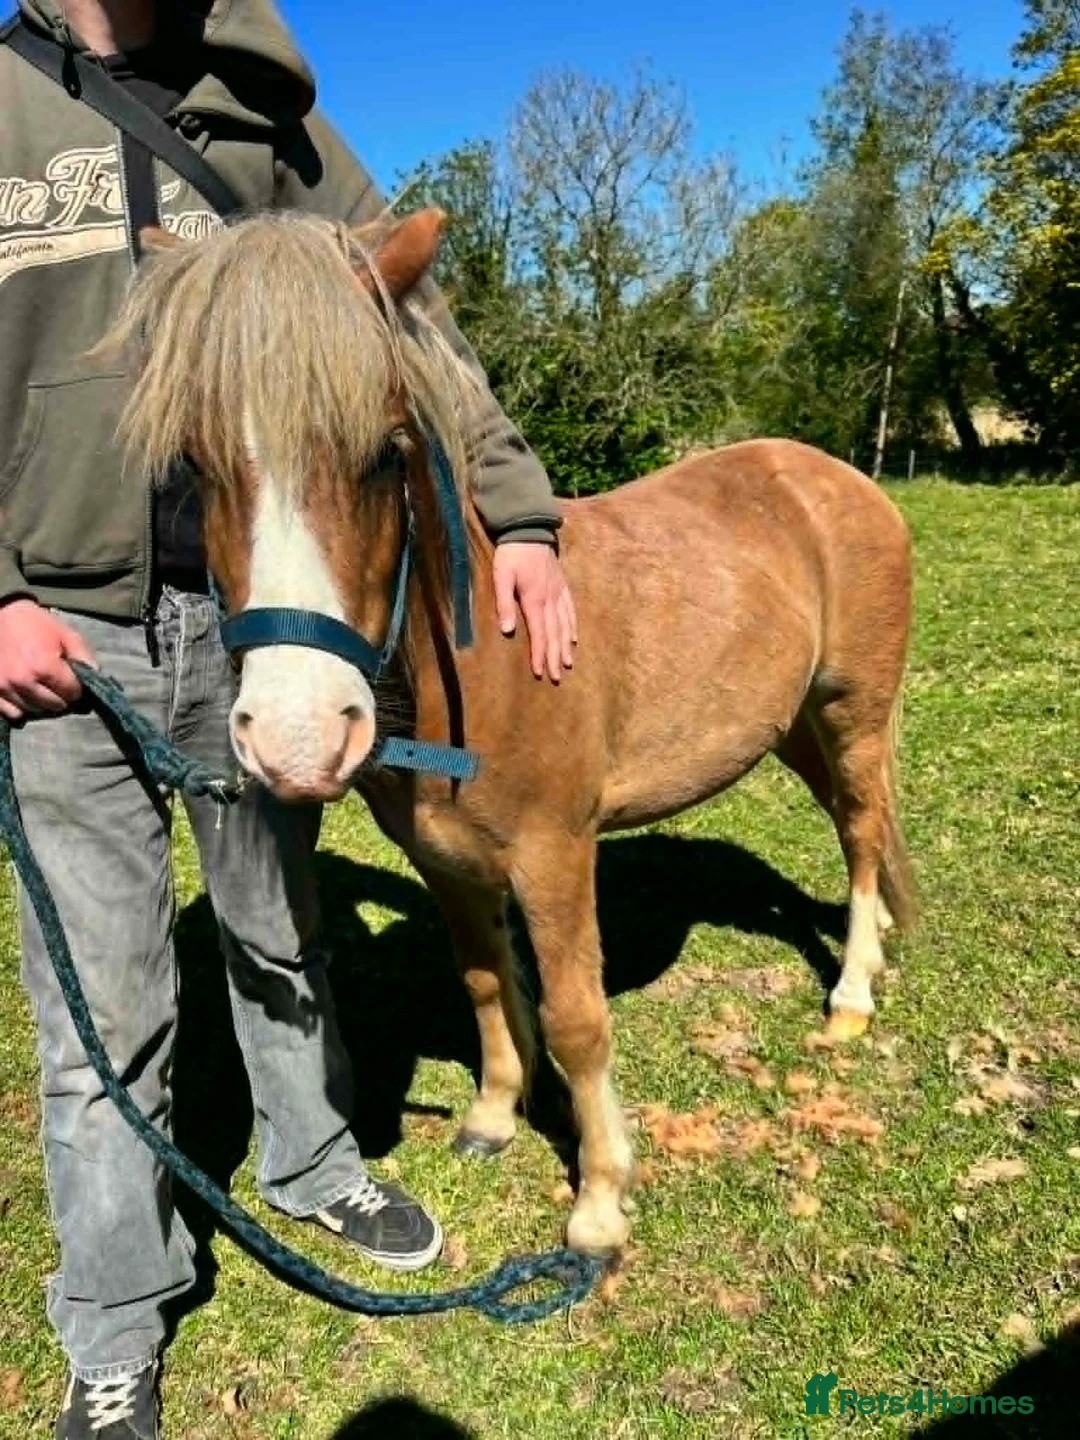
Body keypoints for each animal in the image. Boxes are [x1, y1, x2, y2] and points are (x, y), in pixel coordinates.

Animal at [106, 208, 915, 1256]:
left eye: (386, 453)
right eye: (198, 467)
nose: (297, 736)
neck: (480, 660)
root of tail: (835, 479)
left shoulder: (555, 855)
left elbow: (576, 1018)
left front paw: (601, 1199)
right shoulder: (446, 862)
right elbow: (486, 978)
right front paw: (497, 1113)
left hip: (854, 712)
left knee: (859, 829)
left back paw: (852, 994)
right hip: (793, 726)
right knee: (863, 826)